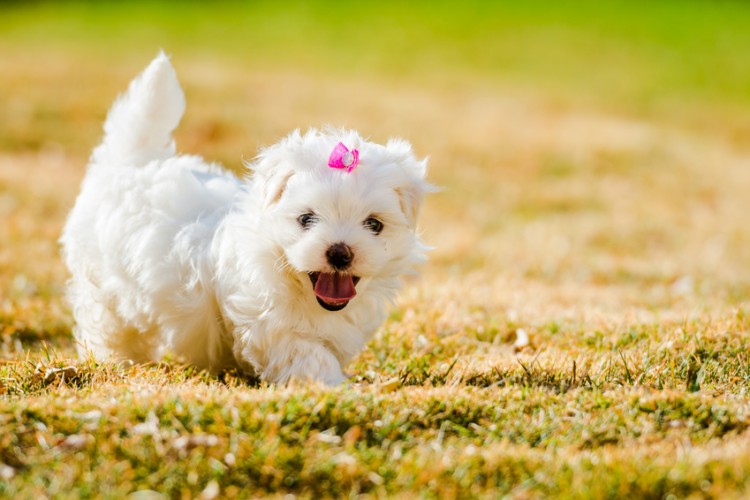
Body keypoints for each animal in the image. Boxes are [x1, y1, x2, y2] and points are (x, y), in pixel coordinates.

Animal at [61, 52, 432, 384]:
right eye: (306, 219)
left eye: (374, 224)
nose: (340, 253)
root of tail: (130, 163)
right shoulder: (269, 323)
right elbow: (307, 355)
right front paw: (333, 385)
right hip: (101, 283)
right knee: (106, 325)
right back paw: (116, 360)